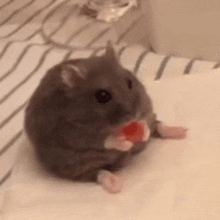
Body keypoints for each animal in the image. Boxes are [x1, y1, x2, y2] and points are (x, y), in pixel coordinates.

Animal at [24, 41, 186, 192]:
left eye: (129, 82)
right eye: (102, 96)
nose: (133, 115)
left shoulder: (145, 103)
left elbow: (145, 118)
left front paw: (143, 130)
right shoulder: (72, 132)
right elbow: (105, 140)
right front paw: (124, 143)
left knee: (157, 125)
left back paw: (181, 131)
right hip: (73, 164)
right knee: (95, 173)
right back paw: (115, 183)